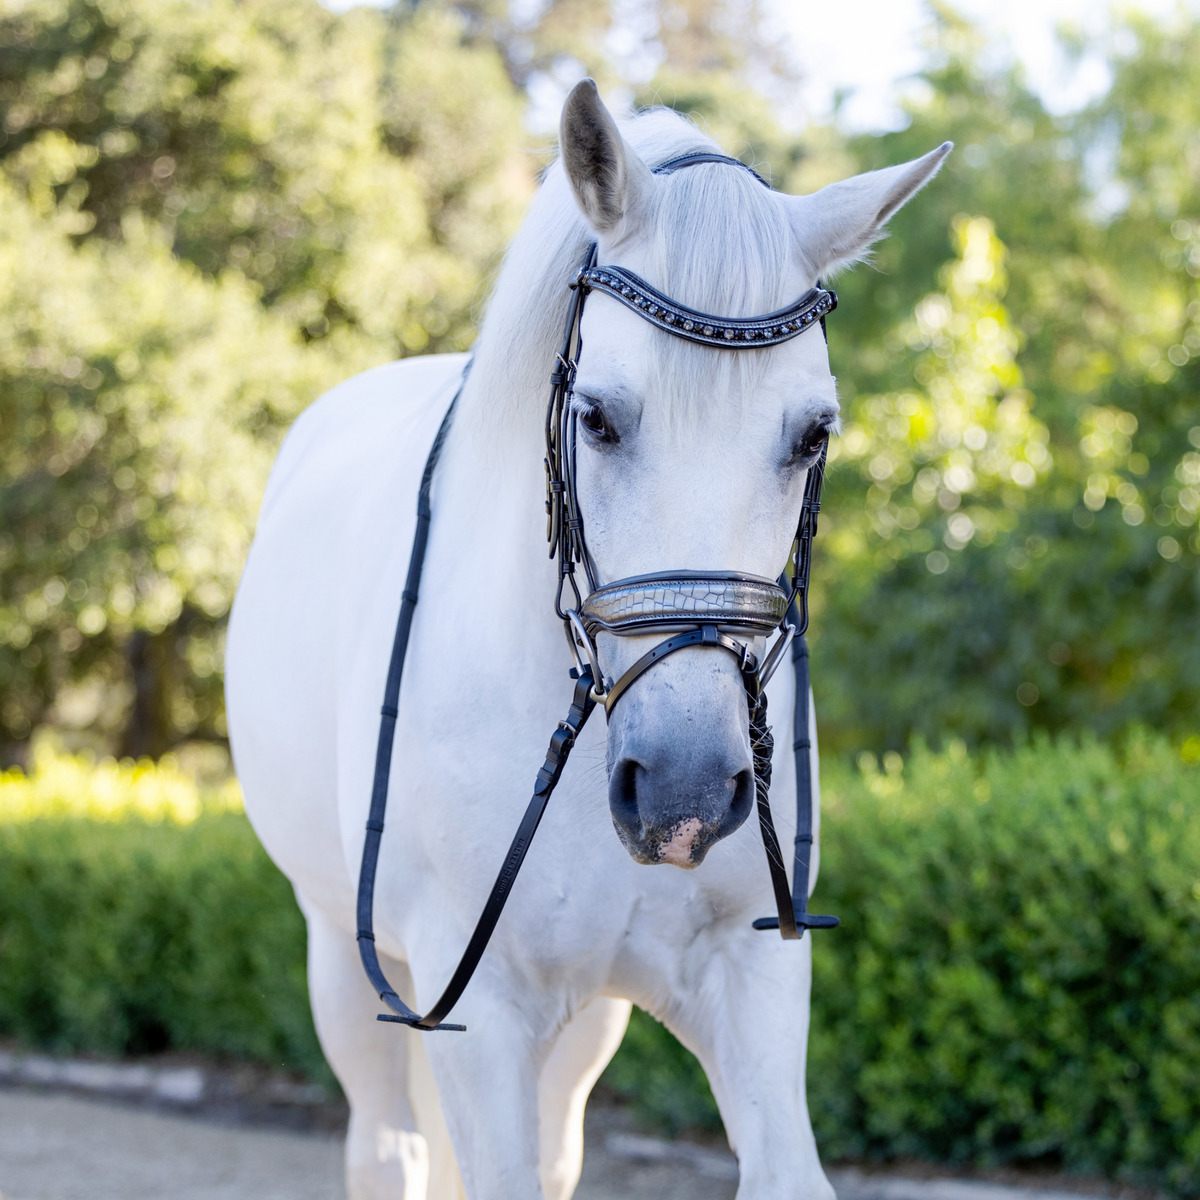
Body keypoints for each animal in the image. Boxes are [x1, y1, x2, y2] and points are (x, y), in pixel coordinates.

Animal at [226, 79, 945, 1195]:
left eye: (813, 433)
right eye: (598, 417)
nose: (685, 791)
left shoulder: (749, 968)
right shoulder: (476, 1007)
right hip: (343, 952)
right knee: (386, 1143)